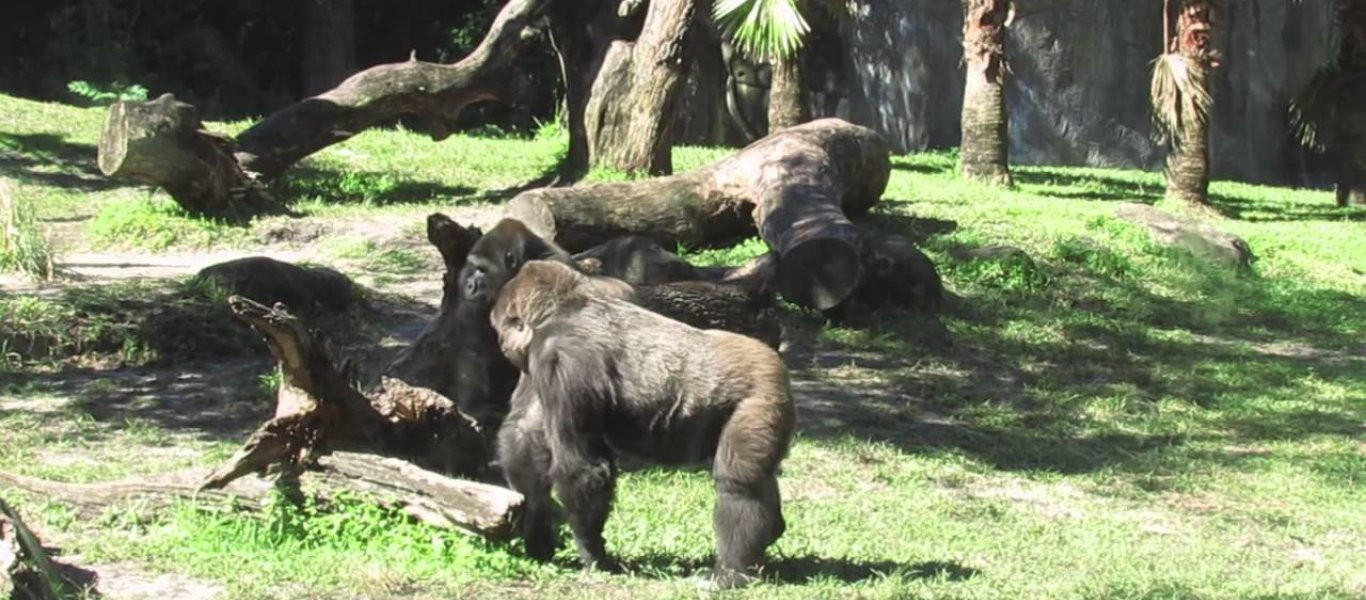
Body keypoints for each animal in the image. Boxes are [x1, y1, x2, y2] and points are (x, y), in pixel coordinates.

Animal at [491, 261, 797, 590]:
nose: (501, 345)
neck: (563, 309)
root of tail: (774, 356)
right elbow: (523, 437)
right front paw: (537, 533)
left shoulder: (563, 359)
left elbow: (582, 468)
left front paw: (592, 551)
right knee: (758, 478)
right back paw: (771, 533)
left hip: (762, 393)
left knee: (739, 484)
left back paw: (731, 571)